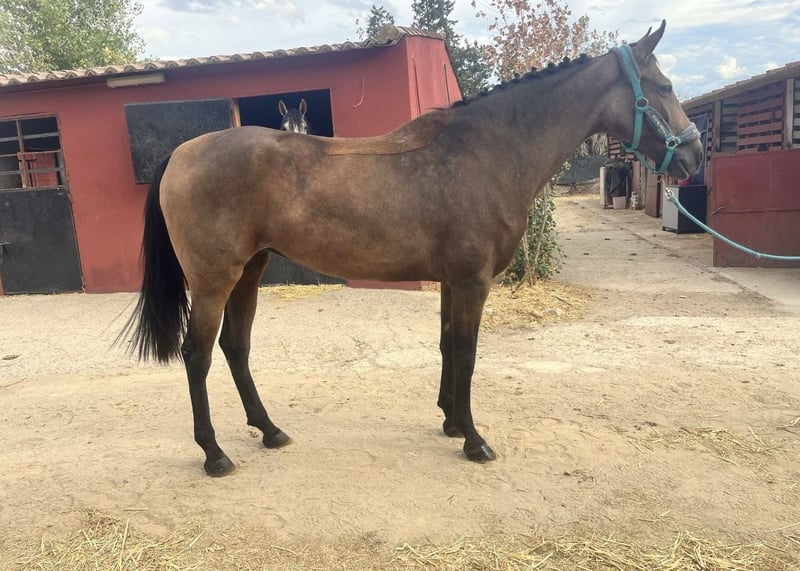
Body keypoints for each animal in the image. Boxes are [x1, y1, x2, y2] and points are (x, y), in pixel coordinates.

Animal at [120, 21, 702, 476]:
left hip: (251, 271)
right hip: (214, 280)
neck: (487, 151)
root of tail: (181, 153)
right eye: (664, 85)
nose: (693, 156)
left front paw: (450, 422)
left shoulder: (452, 281)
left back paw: (269, 430)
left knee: (235, 348)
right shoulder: (472, 281)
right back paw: (214, 454)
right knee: (197, 355)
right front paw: (474, 440)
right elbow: (466, 352)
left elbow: (447, 346)